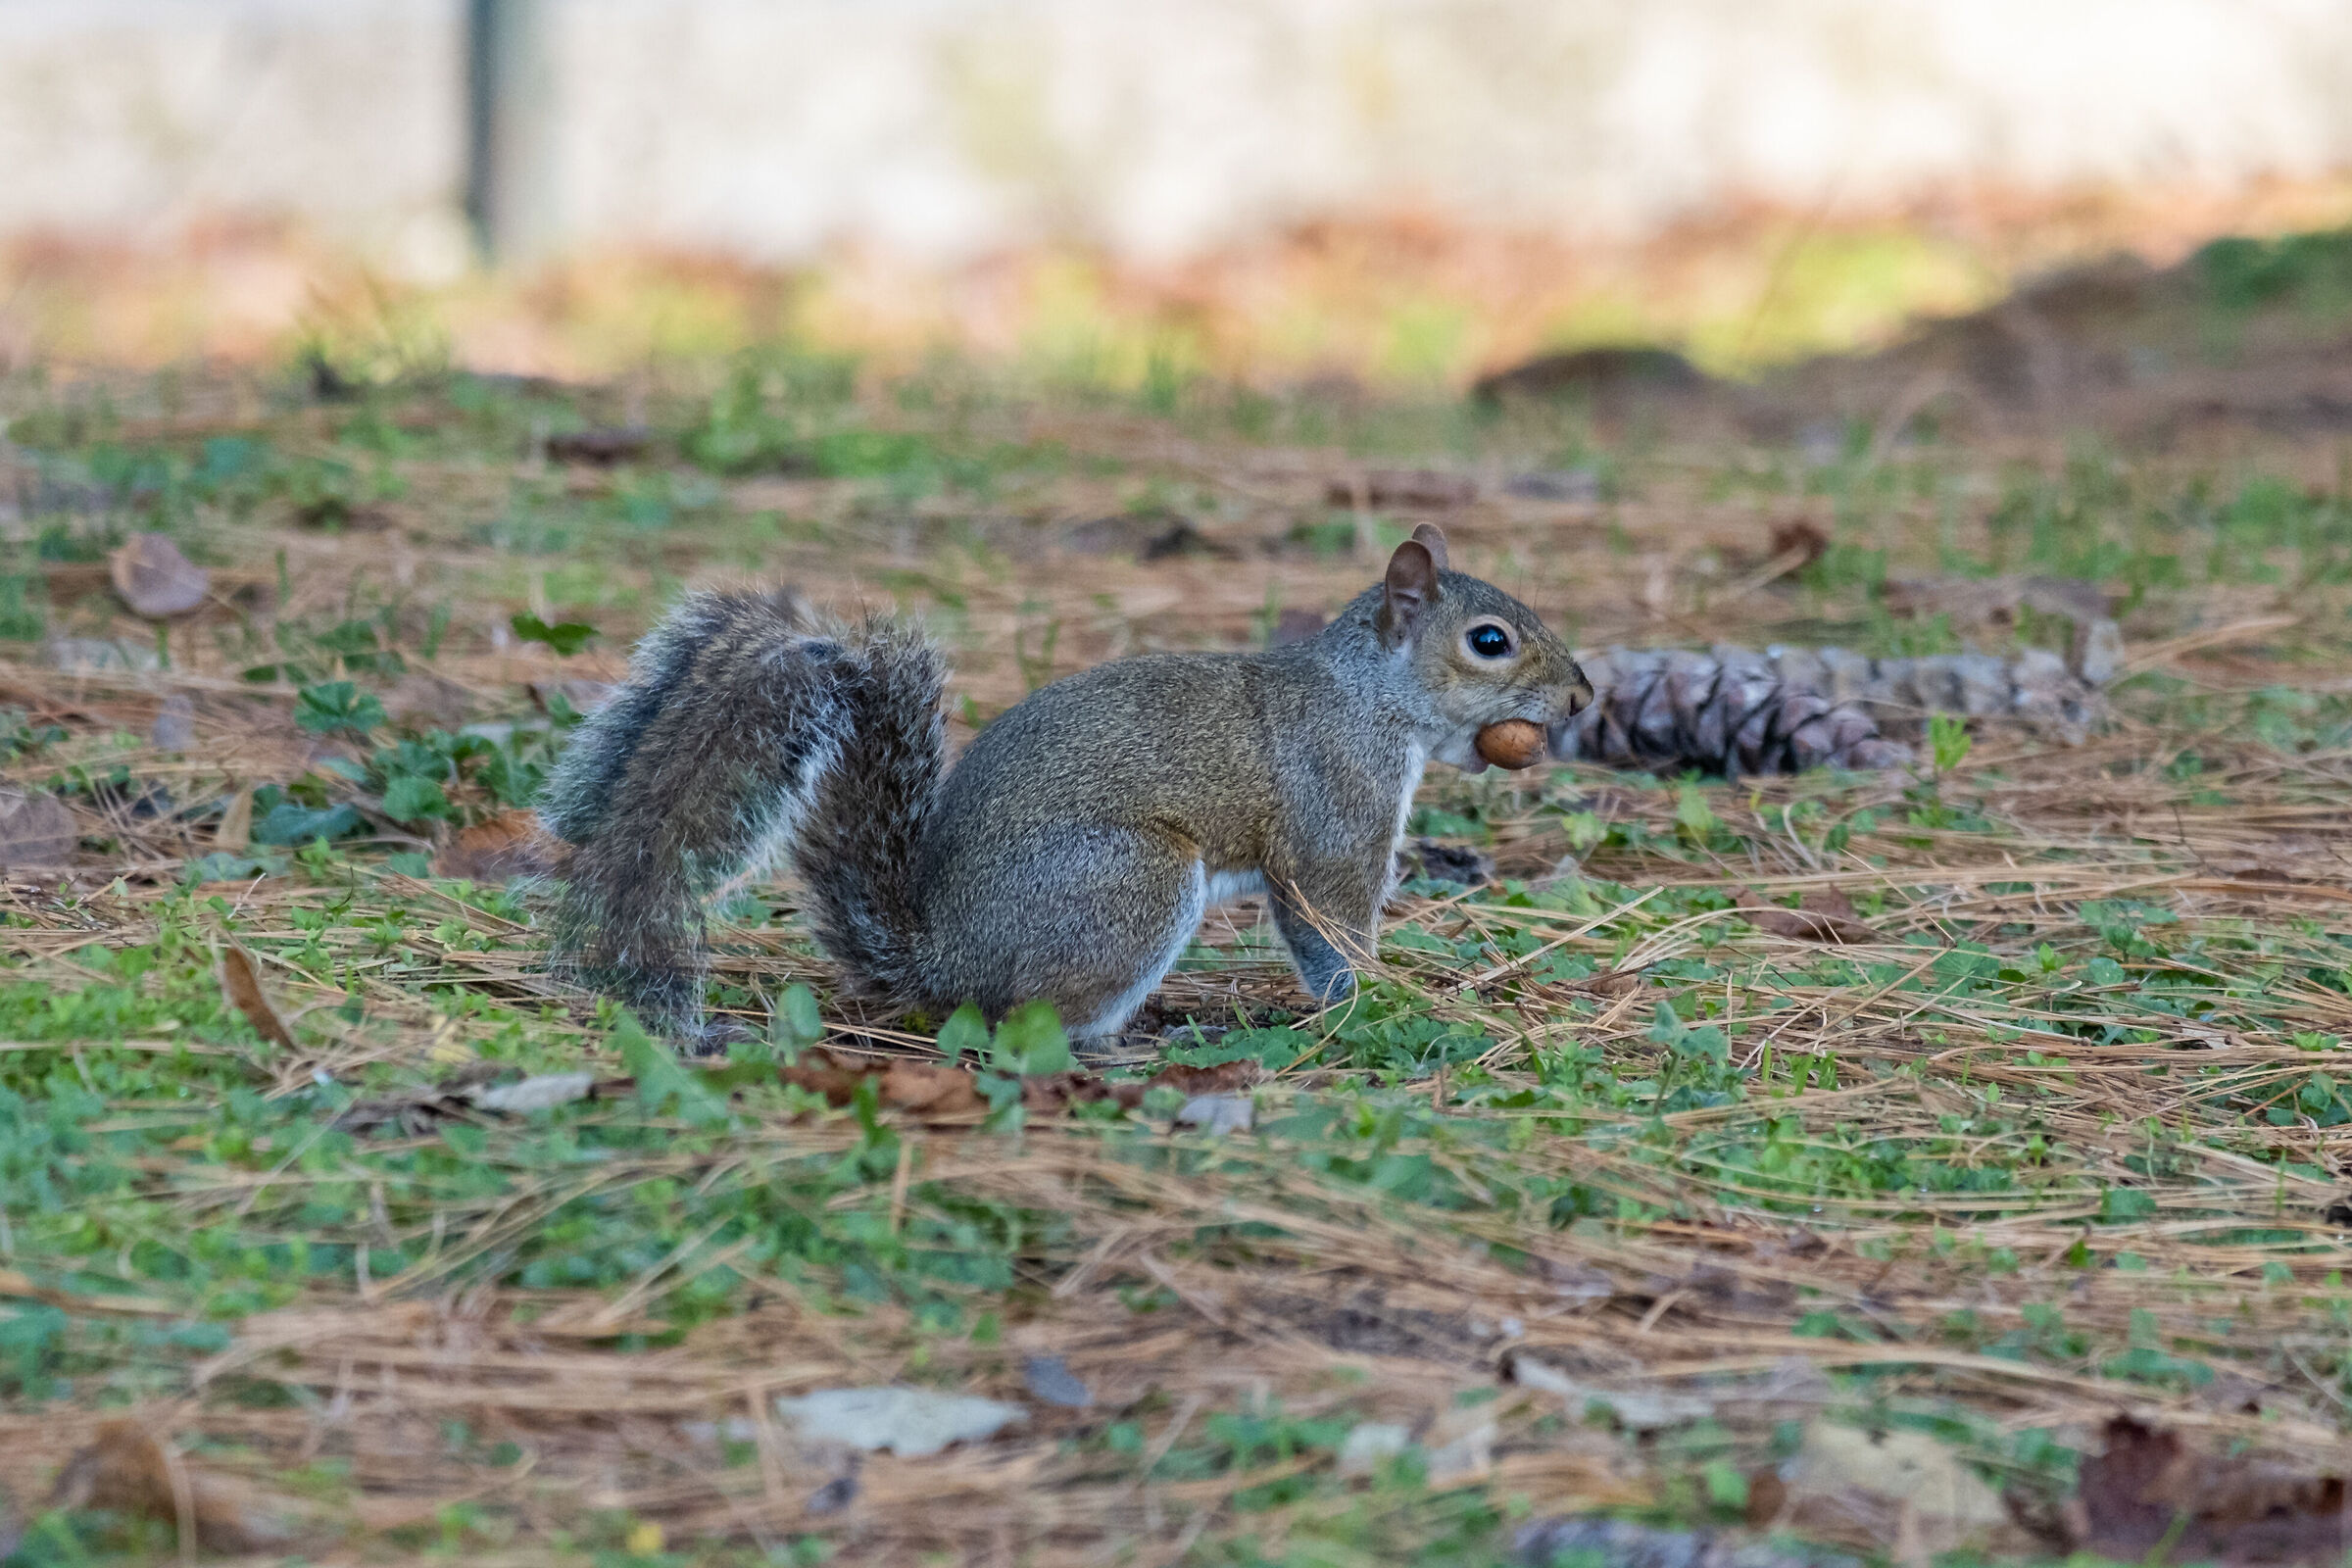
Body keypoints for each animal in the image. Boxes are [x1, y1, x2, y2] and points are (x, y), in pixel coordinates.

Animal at [538, 523, 1593, 1048]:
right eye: (1489, 641)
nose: (1584, 696)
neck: (1369, 698)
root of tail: (942, 962)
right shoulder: (1336, 812)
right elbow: (1330, 924)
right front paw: (1378, 1005)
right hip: (1133, 880)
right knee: (1035, 1021)